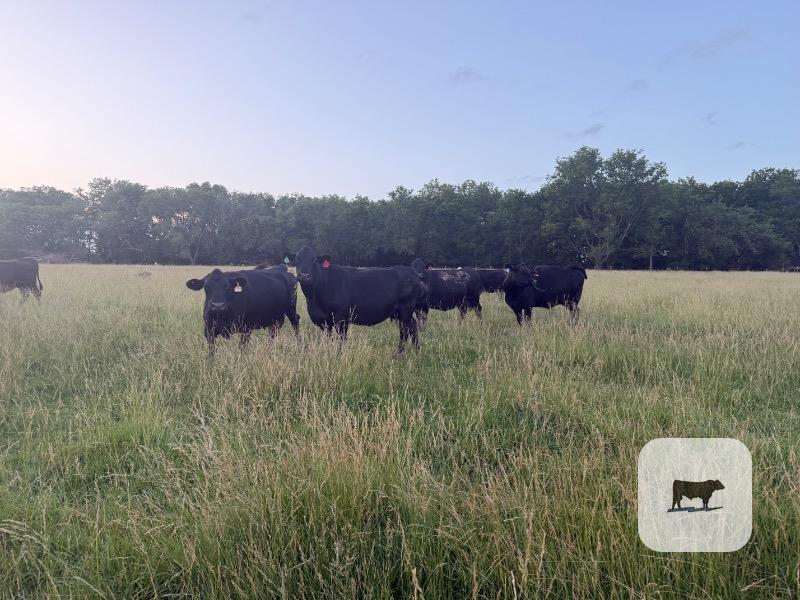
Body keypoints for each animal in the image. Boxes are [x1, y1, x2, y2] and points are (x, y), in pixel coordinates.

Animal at [293, 246, 422, 355]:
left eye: (314, 260)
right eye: (297, 259)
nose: (304, 276)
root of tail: (411, 271)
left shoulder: (341, 318)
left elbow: (341, 339)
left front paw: (339, 355)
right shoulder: (324, 322)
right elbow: (329, 338)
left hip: (405, 309)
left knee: (405, 330)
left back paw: (399, 355)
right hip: (401, 312)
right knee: (413, 326)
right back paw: (416, 351)